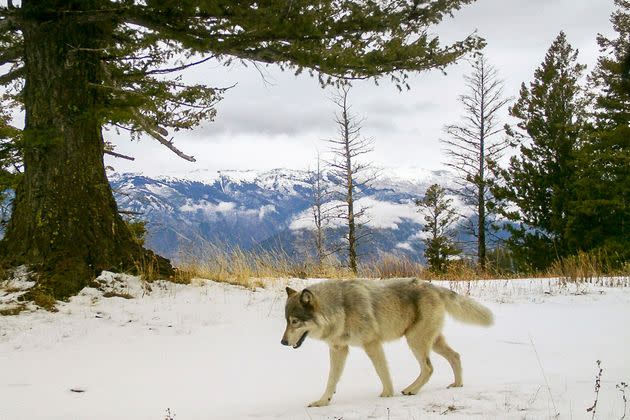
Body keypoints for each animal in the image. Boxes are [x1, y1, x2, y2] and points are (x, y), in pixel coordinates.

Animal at [280, 278, 494, 406]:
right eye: (286, 321)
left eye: (295, 322)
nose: (282, 342)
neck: (341, 309)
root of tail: (433, 286)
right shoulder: (338, 349)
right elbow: (331, 379)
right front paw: (323, 401)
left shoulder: (372, 344)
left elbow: (382, 372)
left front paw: (387, 395)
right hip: (432, 342)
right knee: (455, 356)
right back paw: (457, 384)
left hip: (415, 341)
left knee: (429, 368)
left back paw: (411, 390)